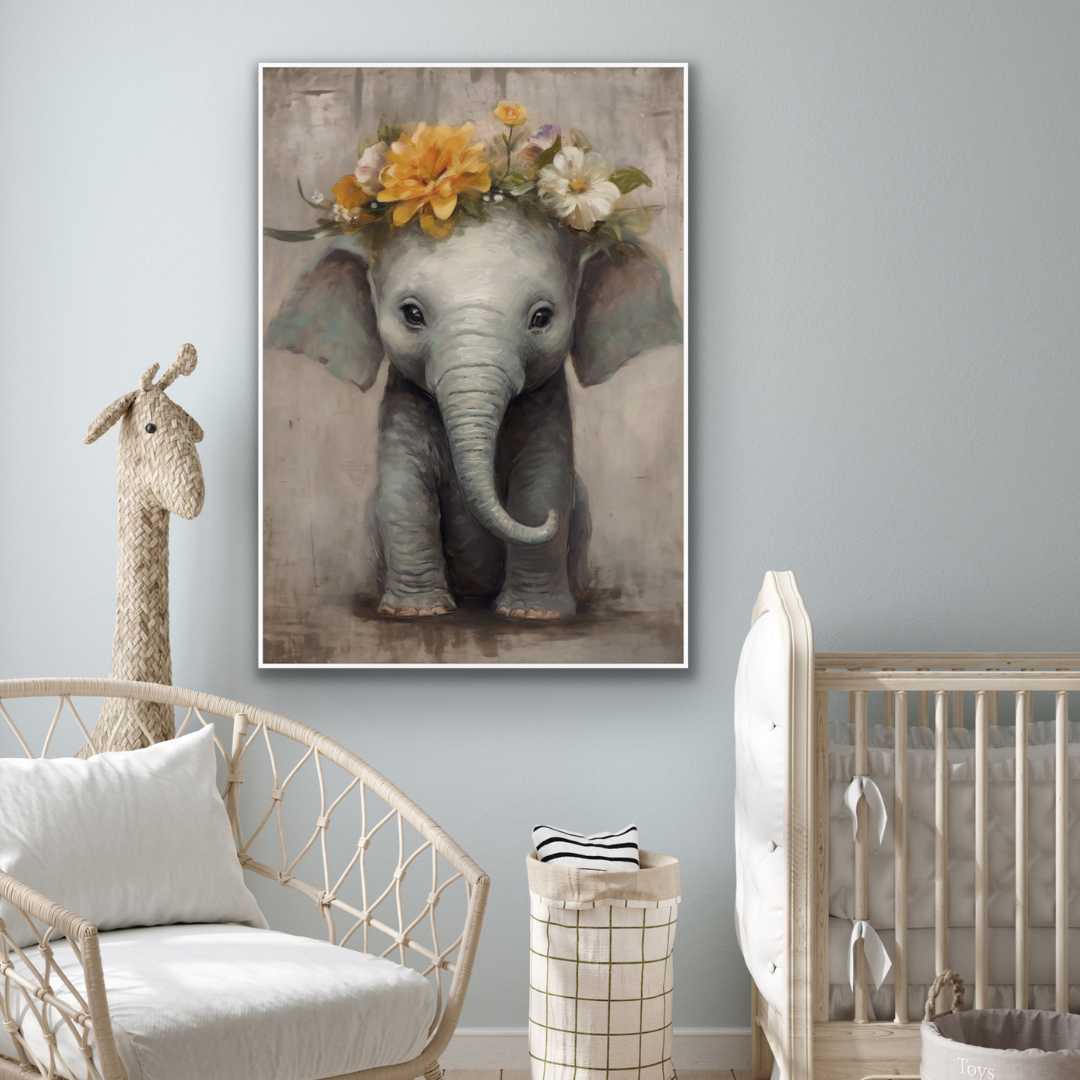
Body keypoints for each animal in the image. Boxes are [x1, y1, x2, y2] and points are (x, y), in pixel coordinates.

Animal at [266, 200, 682, 621]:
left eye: (542, 318)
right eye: (412, 314)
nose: (549, 522)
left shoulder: (547, 408)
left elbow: (541, 484)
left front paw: (533, 615)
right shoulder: (402, 408)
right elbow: (404, 494)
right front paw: (417, 613)